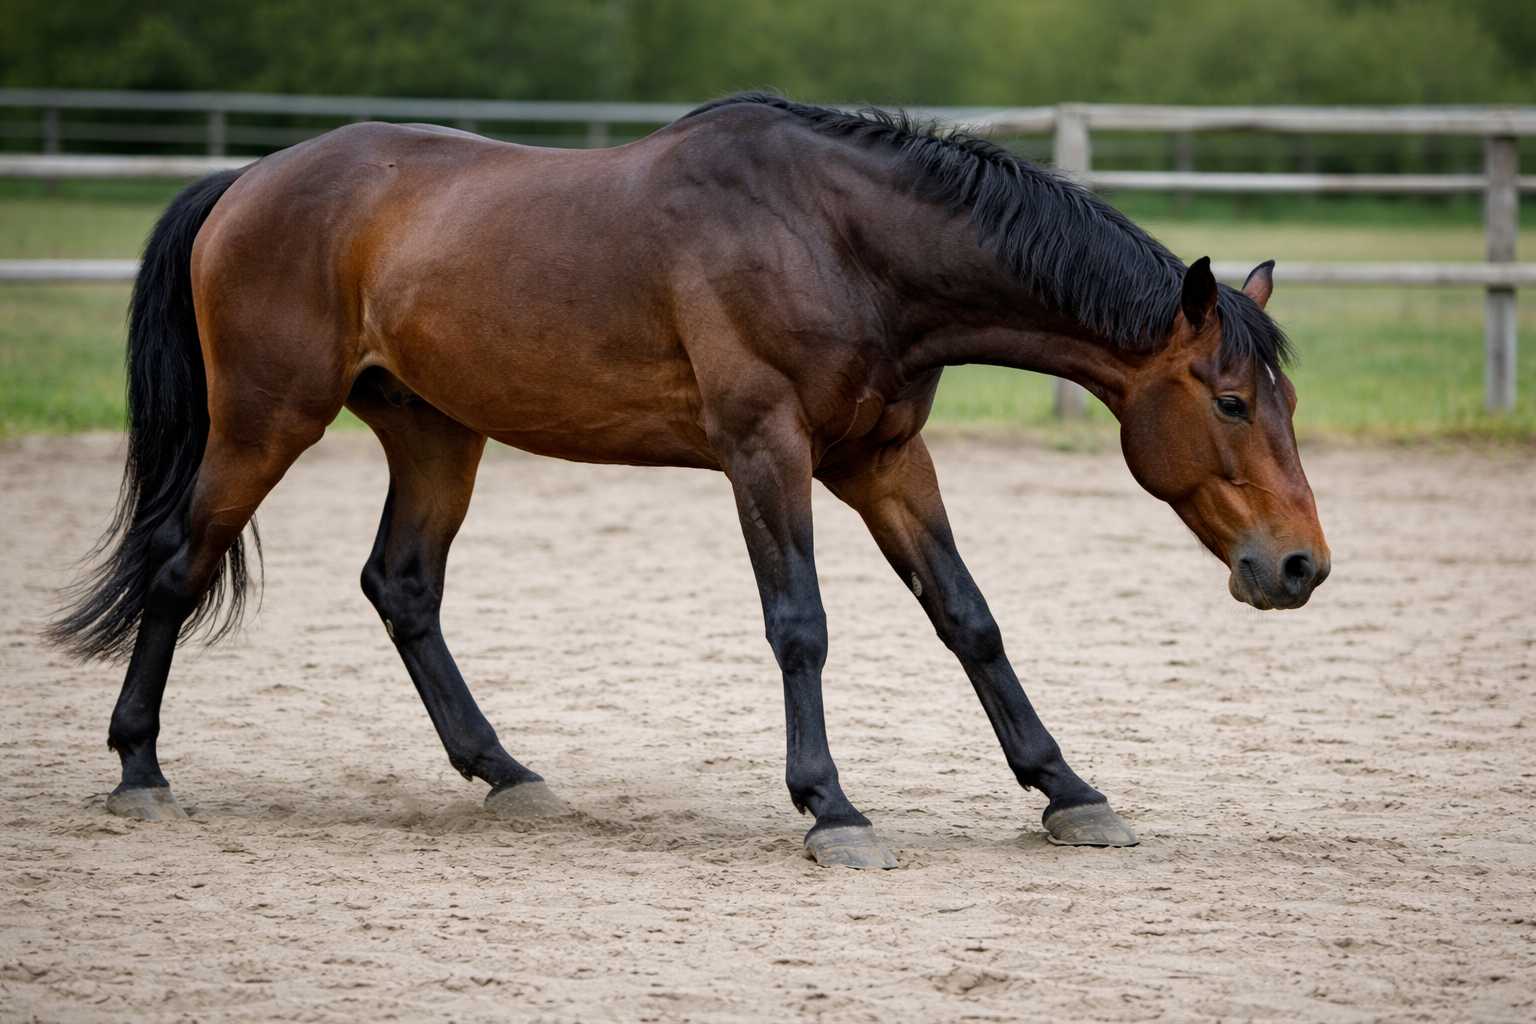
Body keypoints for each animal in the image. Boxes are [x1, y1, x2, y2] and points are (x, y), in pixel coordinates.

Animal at [50, 93, 1329, 869]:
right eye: (1229, 400)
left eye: (1287, 401)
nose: (1299, 565)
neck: (839, 239)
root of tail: (248, 179)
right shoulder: (766, 449)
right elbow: (800, 623)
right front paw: (832, 807)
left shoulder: (882, 458)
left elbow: (968, 617)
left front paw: (1068, 788)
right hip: (266, 422)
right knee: (181, 564)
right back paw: (141, 771)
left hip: (435, 435)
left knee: (401, 587)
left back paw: (505, 772)